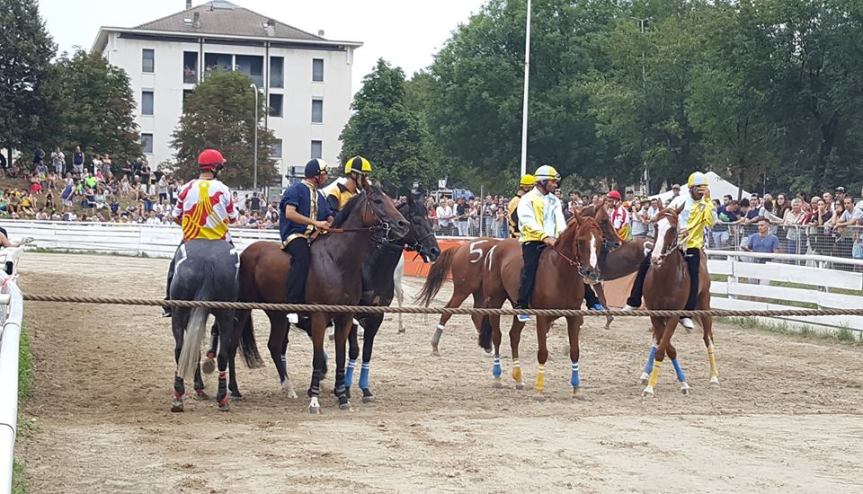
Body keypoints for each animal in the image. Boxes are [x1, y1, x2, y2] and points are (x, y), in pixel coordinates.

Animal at [169, 239, 240, 412]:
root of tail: (208, 263)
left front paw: (198, 387)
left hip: (179, 311)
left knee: (180, 349)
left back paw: (178, 396)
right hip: (226, 314)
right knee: (222, 355)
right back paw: (222, 399)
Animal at [232, 186, 409, 413]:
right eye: (378, 201)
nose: (403, 224)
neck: (337, 261)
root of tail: (246, 251)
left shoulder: (345, 318)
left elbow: (341, 357)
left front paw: (342, 396)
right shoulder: (319, 317)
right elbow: (317, 358)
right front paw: (314, 399)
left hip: (277, 314)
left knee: (274, 346)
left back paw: (289, 388)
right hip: (243, 309)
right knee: (232, 344)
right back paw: (234, 391)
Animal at [344, 191, 441, 402]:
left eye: (429, 218)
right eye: (415, 219)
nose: (435, 250)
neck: (371, 267)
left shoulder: (376, 314)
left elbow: (367, 351)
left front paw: (365, 389)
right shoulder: (350, 313)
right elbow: (353, 350)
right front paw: (344, 388)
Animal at [477, 216, 603, 395]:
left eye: (600, 241)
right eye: (580, 241)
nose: (591, 273)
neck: (559, 273)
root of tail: (495, 247)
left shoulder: (574, 317)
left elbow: (575, 351)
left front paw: (576, 387)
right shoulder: (543, 317)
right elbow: (543, 352)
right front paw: (539, 389)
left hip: (518, 306)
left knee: (514, 336)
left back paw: (518, 379)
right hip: (495, 301)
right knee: (497, 337)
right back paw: (497, 377)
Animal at [639, 207, 719, 397]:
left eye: (672, 229)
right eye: (656, 225)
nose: (656, 258)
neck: (664, 279)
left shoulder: (674, 315)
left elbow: (663, 349)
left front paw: (651, 388)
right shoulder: (655, 314)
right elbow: (666, 347)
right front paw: (681, 382)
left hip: (704, 305)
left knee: (708, 338)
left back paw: (714, 377)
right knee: (656, 341)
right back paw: (645, 374)